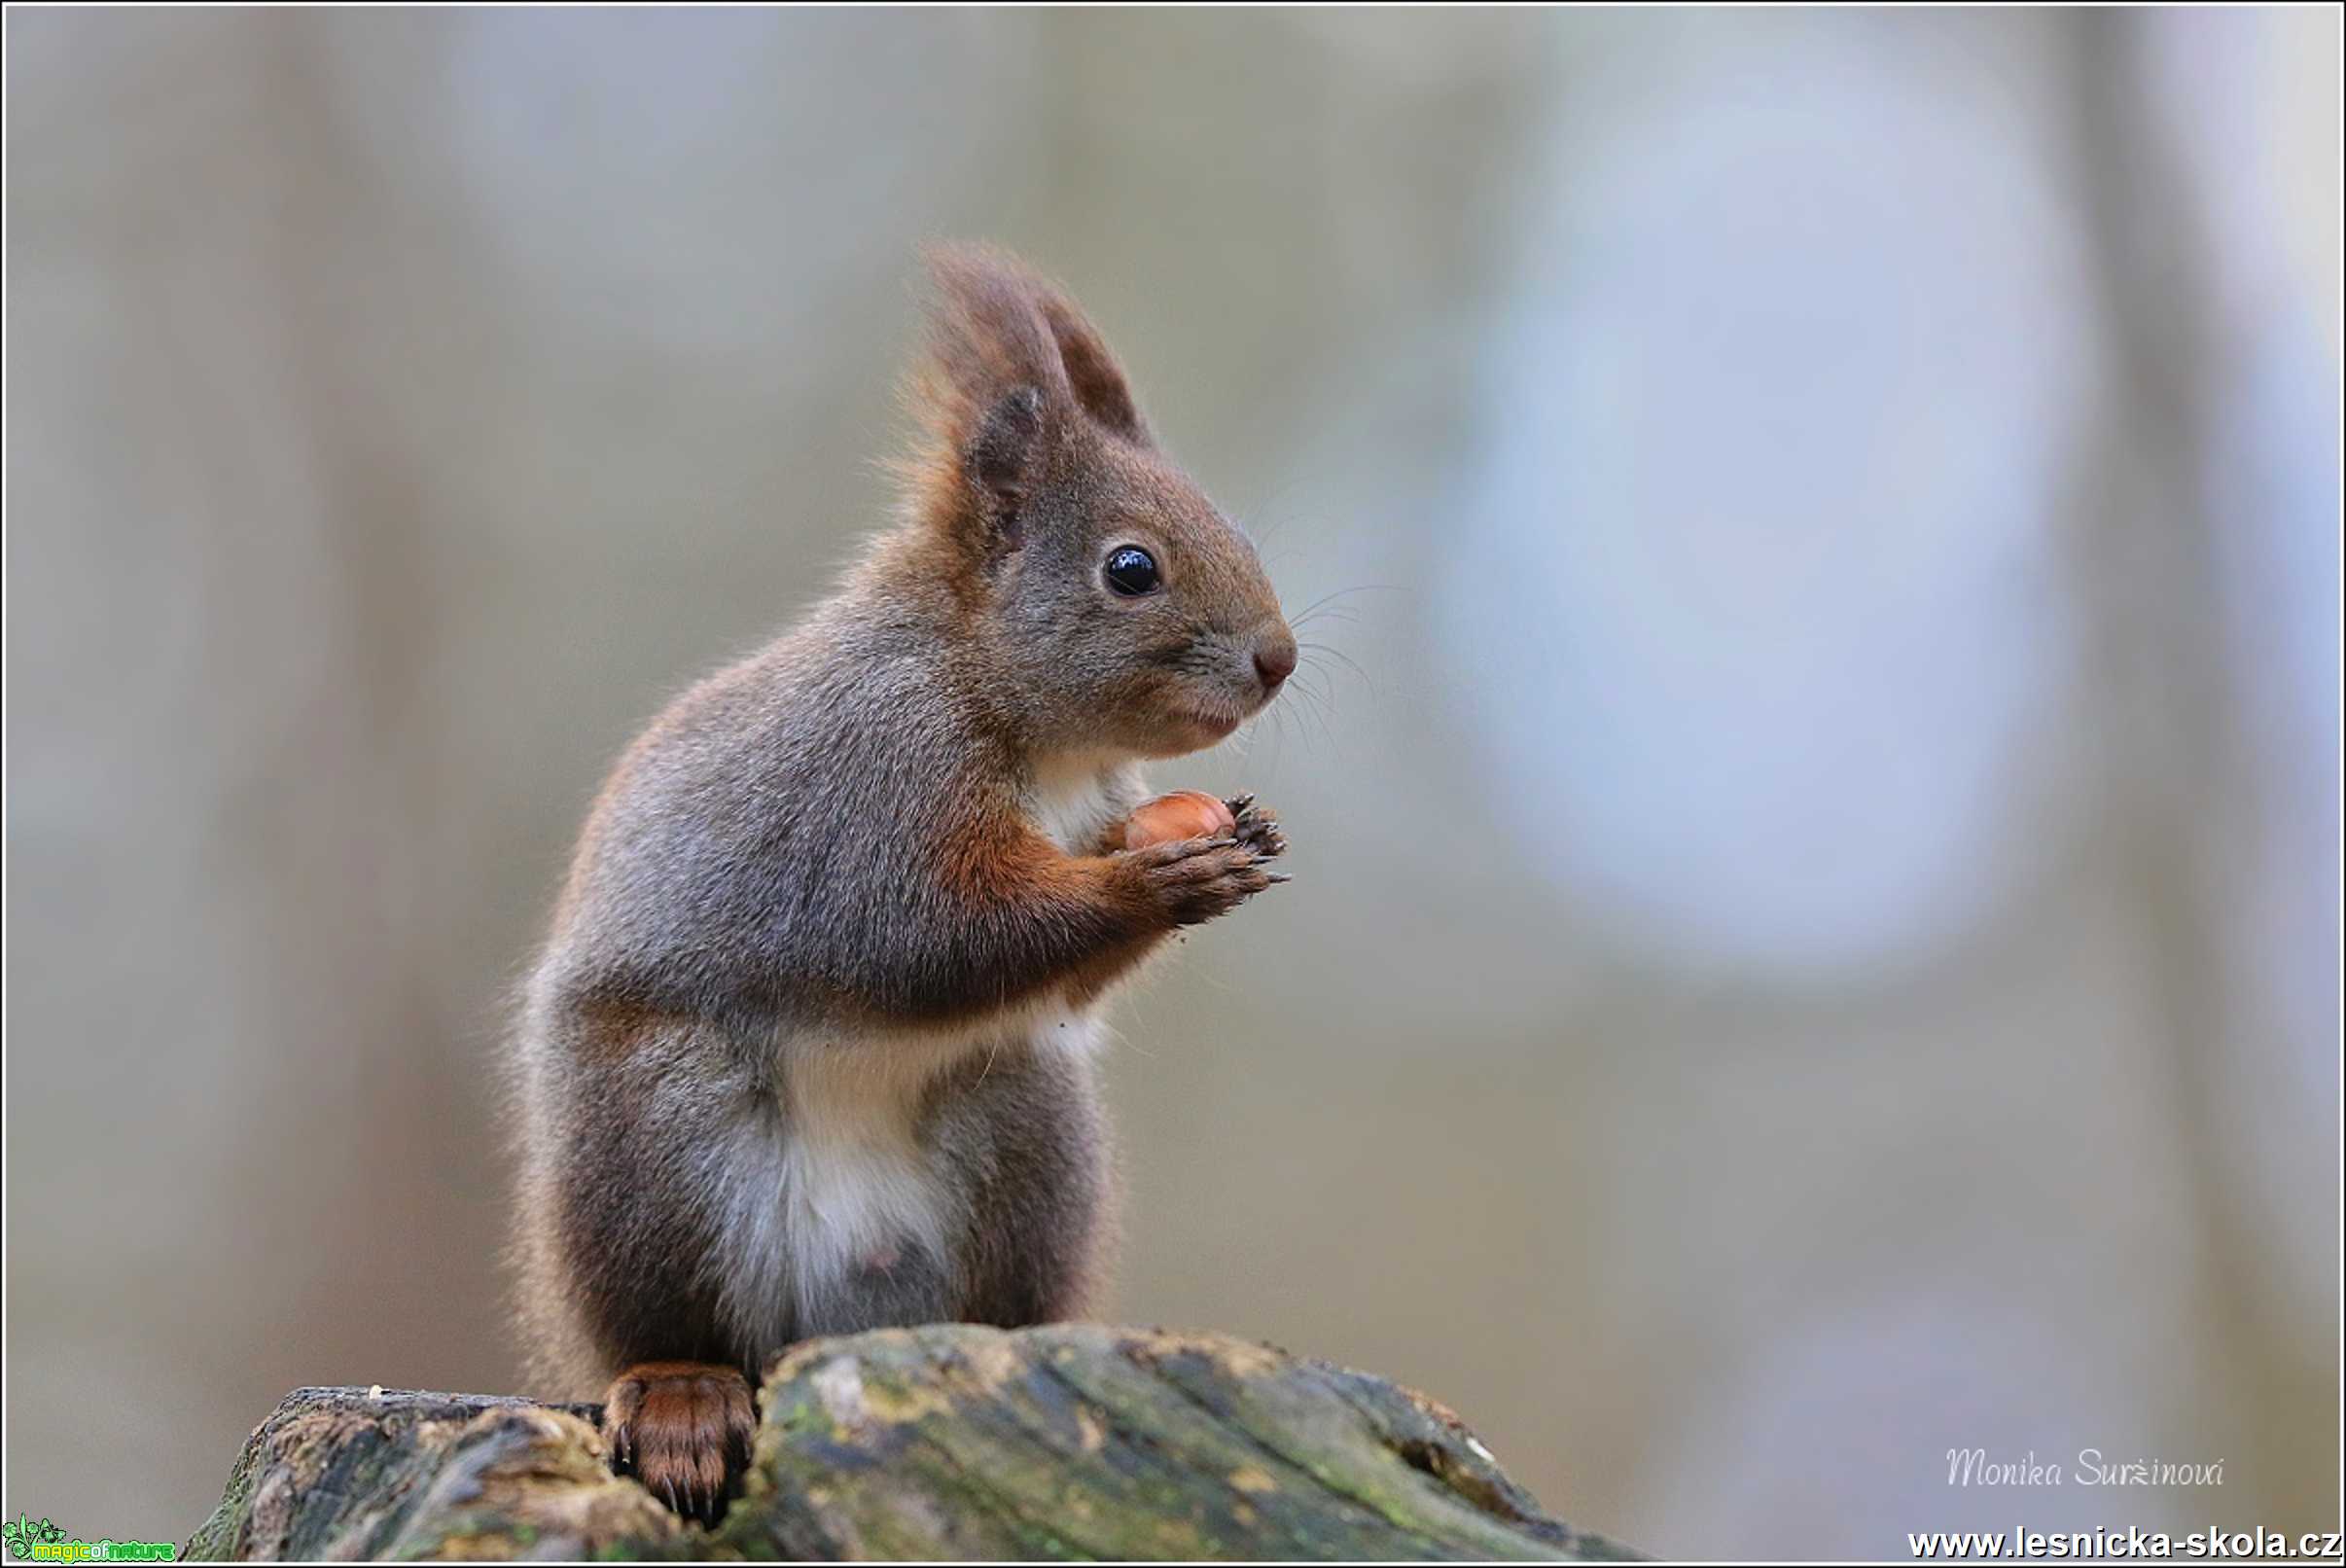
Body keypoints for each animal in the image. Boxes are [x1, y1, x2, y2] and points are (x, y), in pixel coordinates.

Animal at [506, 241, 1304, 1520]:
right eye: (1130, 567)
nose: (1278, 659)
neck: (1015, 711)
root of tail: (836, 1299)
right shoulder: (874, 780)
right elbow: (924, 937)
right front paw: (1157, 881)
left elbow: (1053, 980)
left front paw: (1236, 833)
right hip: (653, 1141)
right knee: (666, 1325)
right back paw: (683, 1396)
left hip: (1027, 1129)